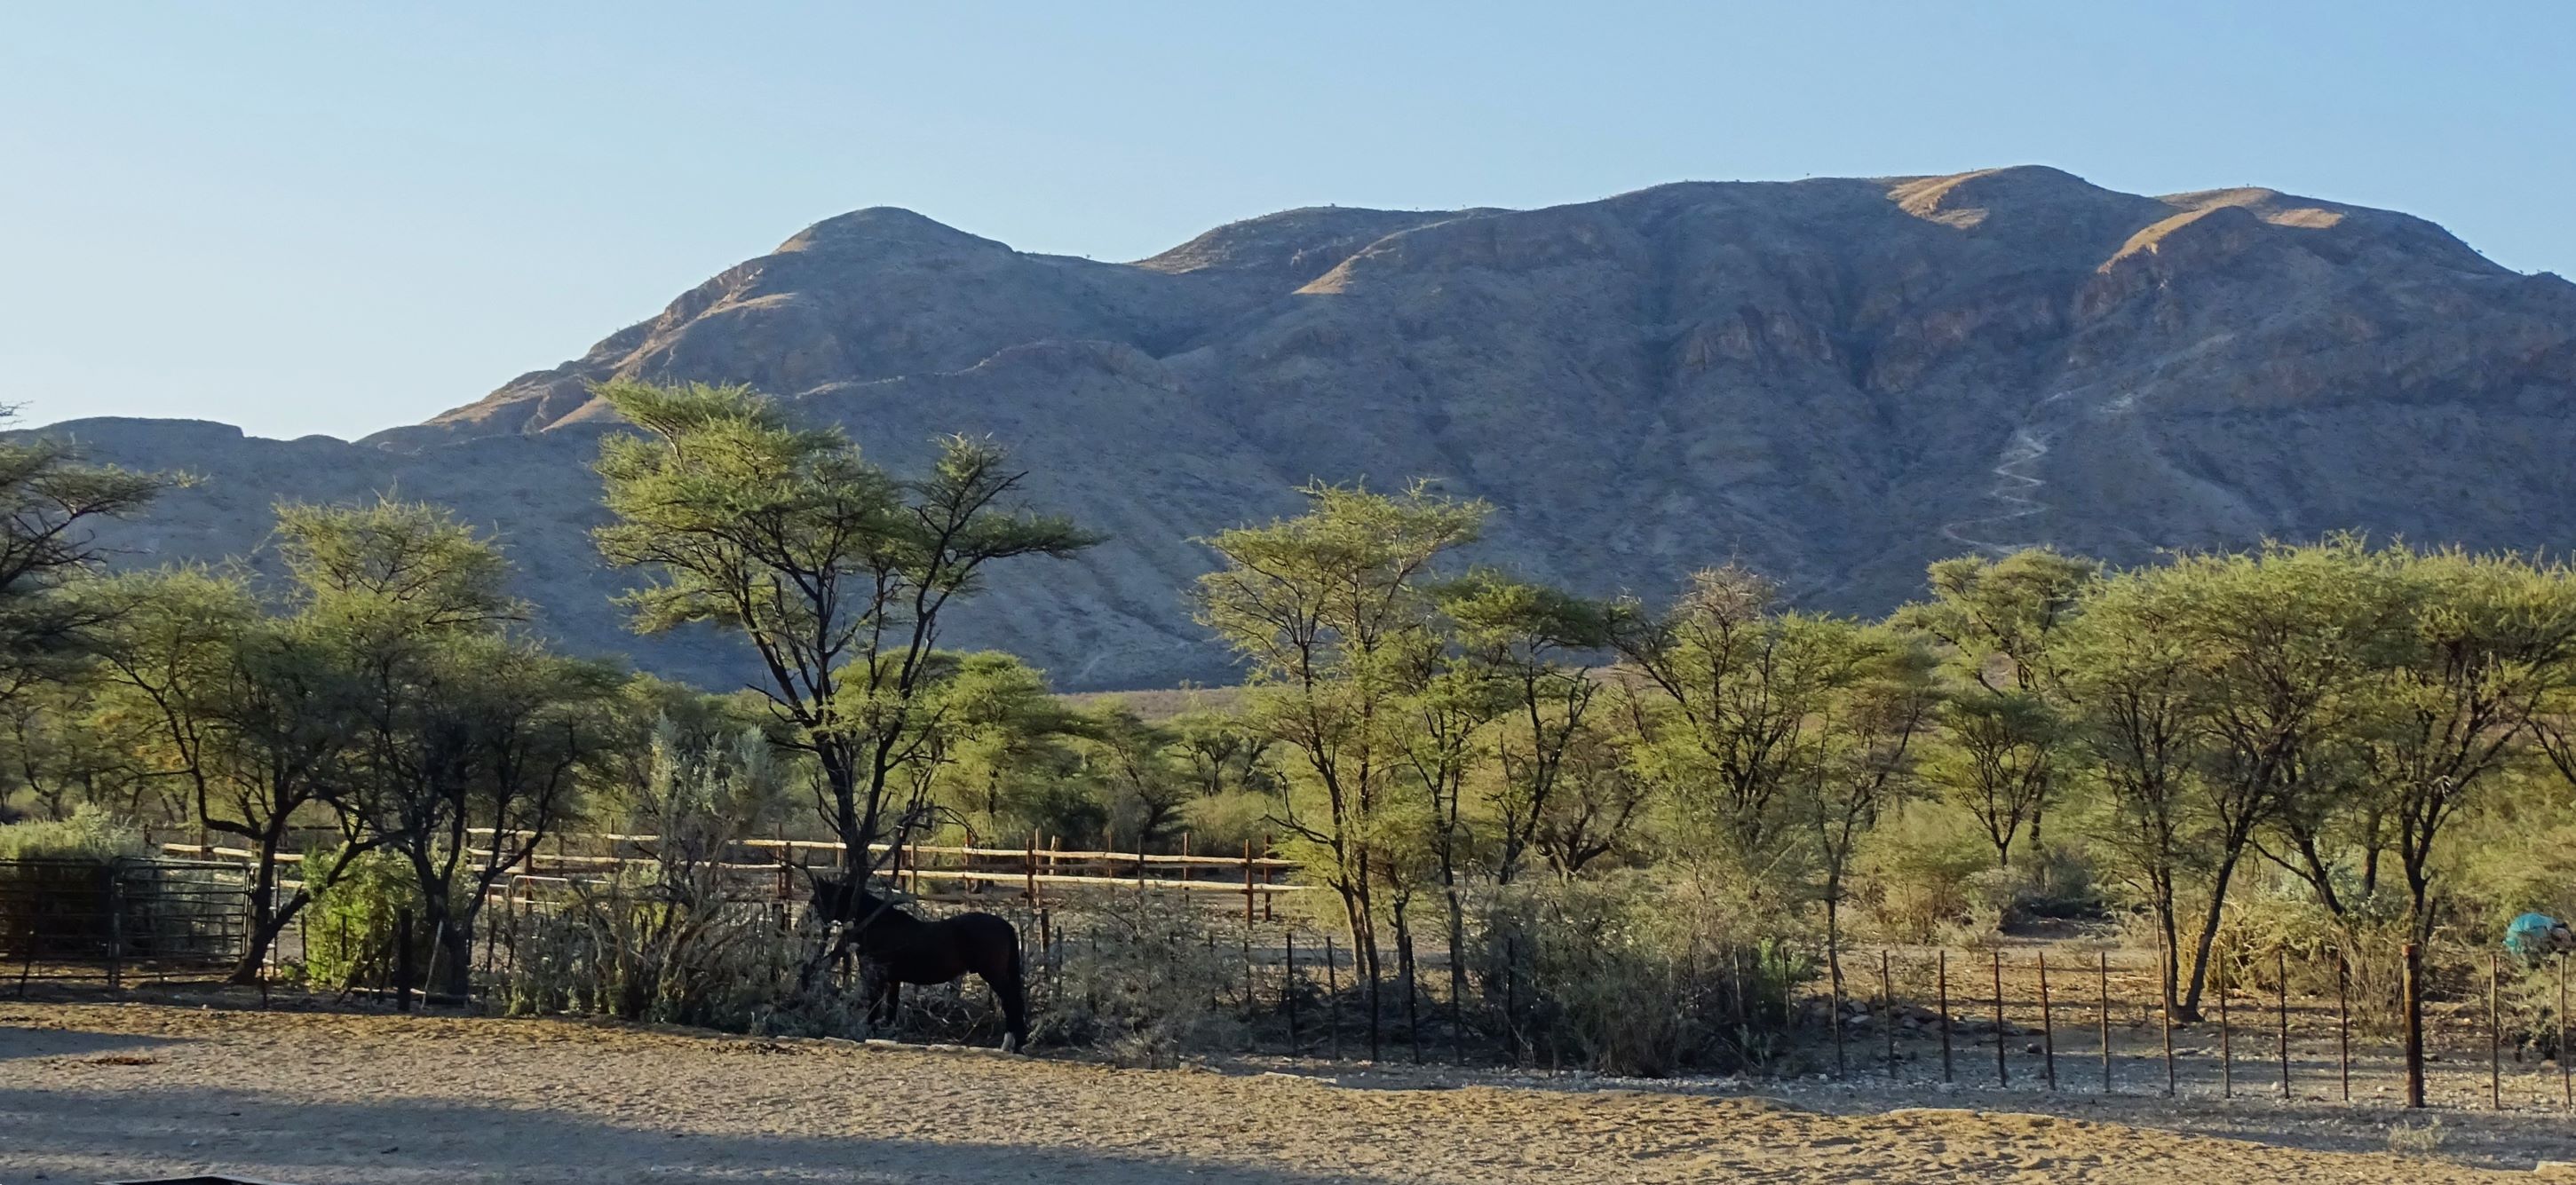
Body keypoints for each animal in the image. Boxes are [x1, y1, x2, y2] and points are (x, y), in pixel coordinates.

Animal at [813, 875, 1035, 1051]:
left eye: (820, 897)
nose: (820, 926)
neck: (879, 925)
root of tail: (1005, 925)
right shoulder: (894, 980)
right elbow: (890, 1010)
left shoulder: (876, 977)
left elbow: (874, 1006)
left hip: (993, 974)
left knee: (1011, 1002)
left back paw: (1010, 1044)